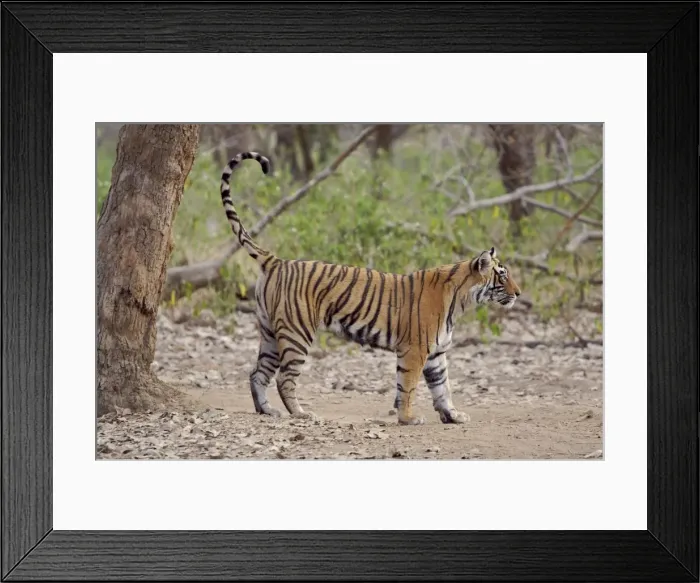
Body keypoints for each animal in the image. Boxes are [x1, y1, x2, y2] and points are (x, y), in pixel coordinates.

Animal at [220, 151, 521, 426]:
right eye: (502, 275)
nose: (519, 293)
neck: (461, 302)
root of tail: (277, 261)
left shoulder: (435, 354)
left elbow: (442, 387)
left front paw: (453, 415)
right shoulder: (415, 350)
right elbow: (408, 386)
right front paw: (409, 418)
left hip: (270, 332)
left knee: (257, 373)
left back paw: (267, 410)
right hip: (297, 333)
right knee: (284, 377)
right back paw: (302, 414)